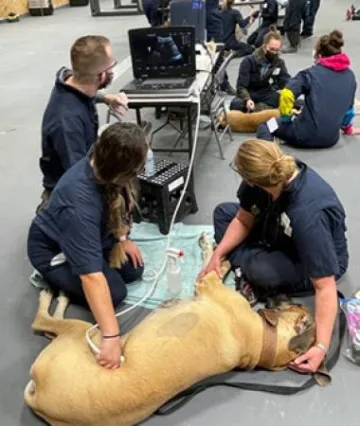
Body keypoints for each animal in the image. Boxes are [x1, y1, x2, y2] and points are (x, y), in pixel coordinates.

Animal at [23, 236, 330, 426]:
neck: (261, 340)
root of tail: (40, 400)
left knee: (41, 322)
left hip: (82, 334)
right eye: (294, 304)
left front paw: (213, 247)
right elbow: (219, 265)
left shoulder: (208, 284)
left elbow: (213, 264)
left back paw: (55, 296)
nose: (281, 292)